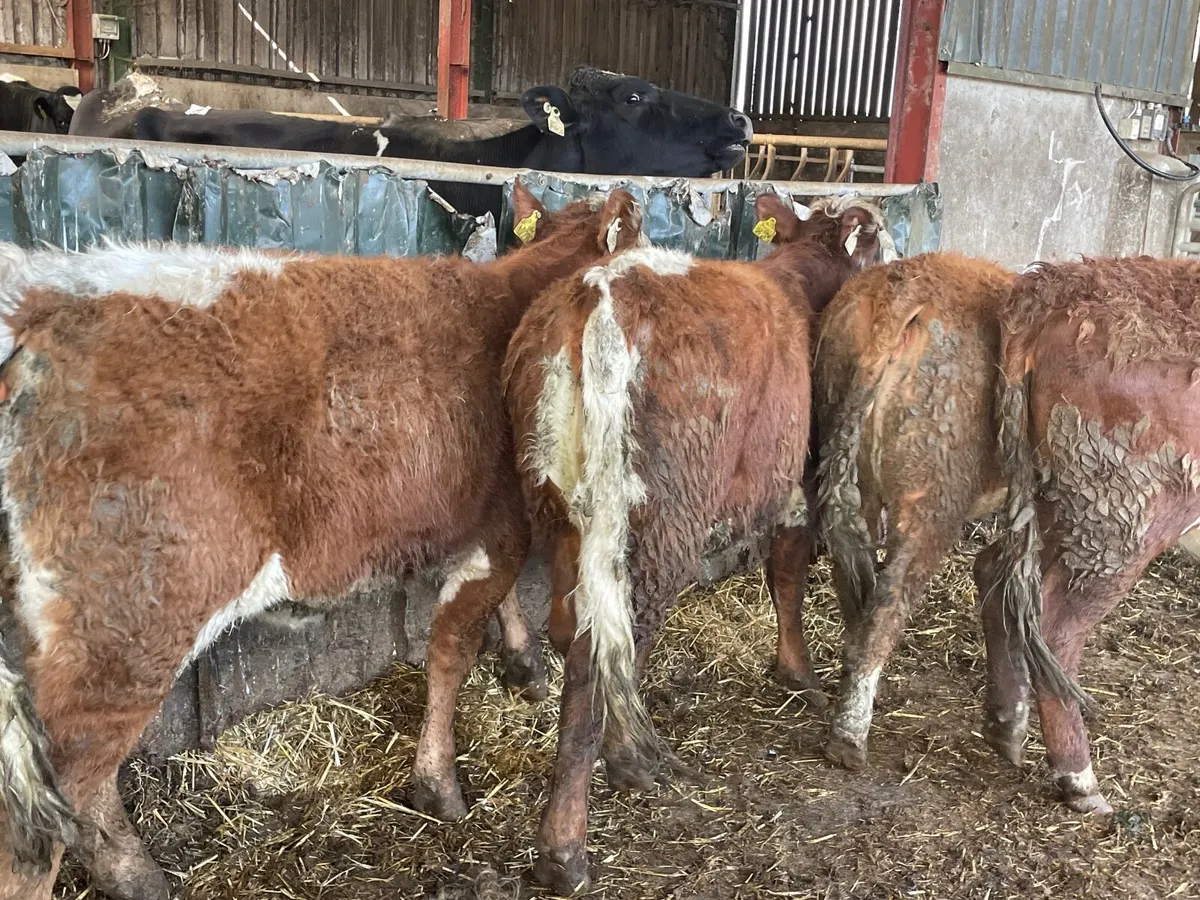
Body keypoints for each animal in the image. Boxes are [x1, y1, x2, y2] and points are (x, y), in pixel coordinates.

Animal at [0, 182, 644, 900]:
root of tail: (38, 300)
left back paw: (135, 873)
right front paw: (438, 783)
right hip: (122, 638)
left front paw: (524, 663)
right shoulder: (497, 528)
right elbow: (450, 650)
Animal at [502, 192, 887, 894]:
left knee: (578, 631)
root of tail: (598, 294)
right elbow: (787, 568)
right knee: (603, 645)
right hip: (653, 518)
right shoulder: (798, 470)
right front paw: (797, 672)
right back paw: (574, 837)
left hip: (559, 503)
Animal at [975, 256, 1200, 816]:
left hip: (1062, 499)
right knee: (1057, 626)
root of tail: (1058, 285)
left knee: (996, 575)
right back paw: (1078, 778)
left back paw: (1007, 724)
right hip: (1125, 515)